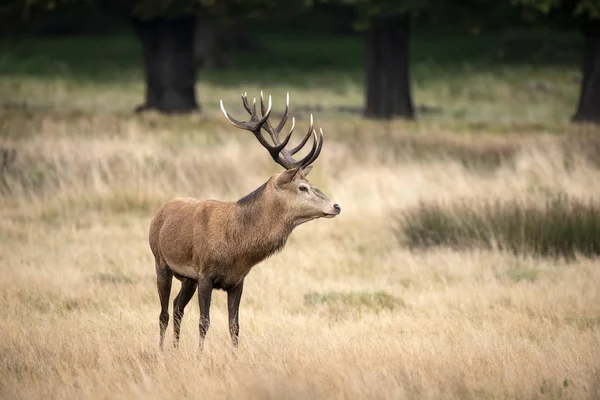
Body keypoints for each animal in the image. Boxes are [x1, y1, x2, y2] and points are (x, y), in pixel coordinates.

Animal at [148, 91, 340, 350]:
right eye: (303, 187)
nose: (336, 206)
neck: (236, 248)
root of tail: (160, 211)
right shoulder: (205, 273)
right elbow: (204, 322)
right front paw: (200, 355)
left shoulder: (237, 280)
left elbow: (235, 326)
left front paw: (234, 355)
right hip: (161, 261)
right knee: (164, 313)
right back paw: (161, 351)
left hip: (188, 278)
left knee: (178, 307)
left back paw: (176, 350)